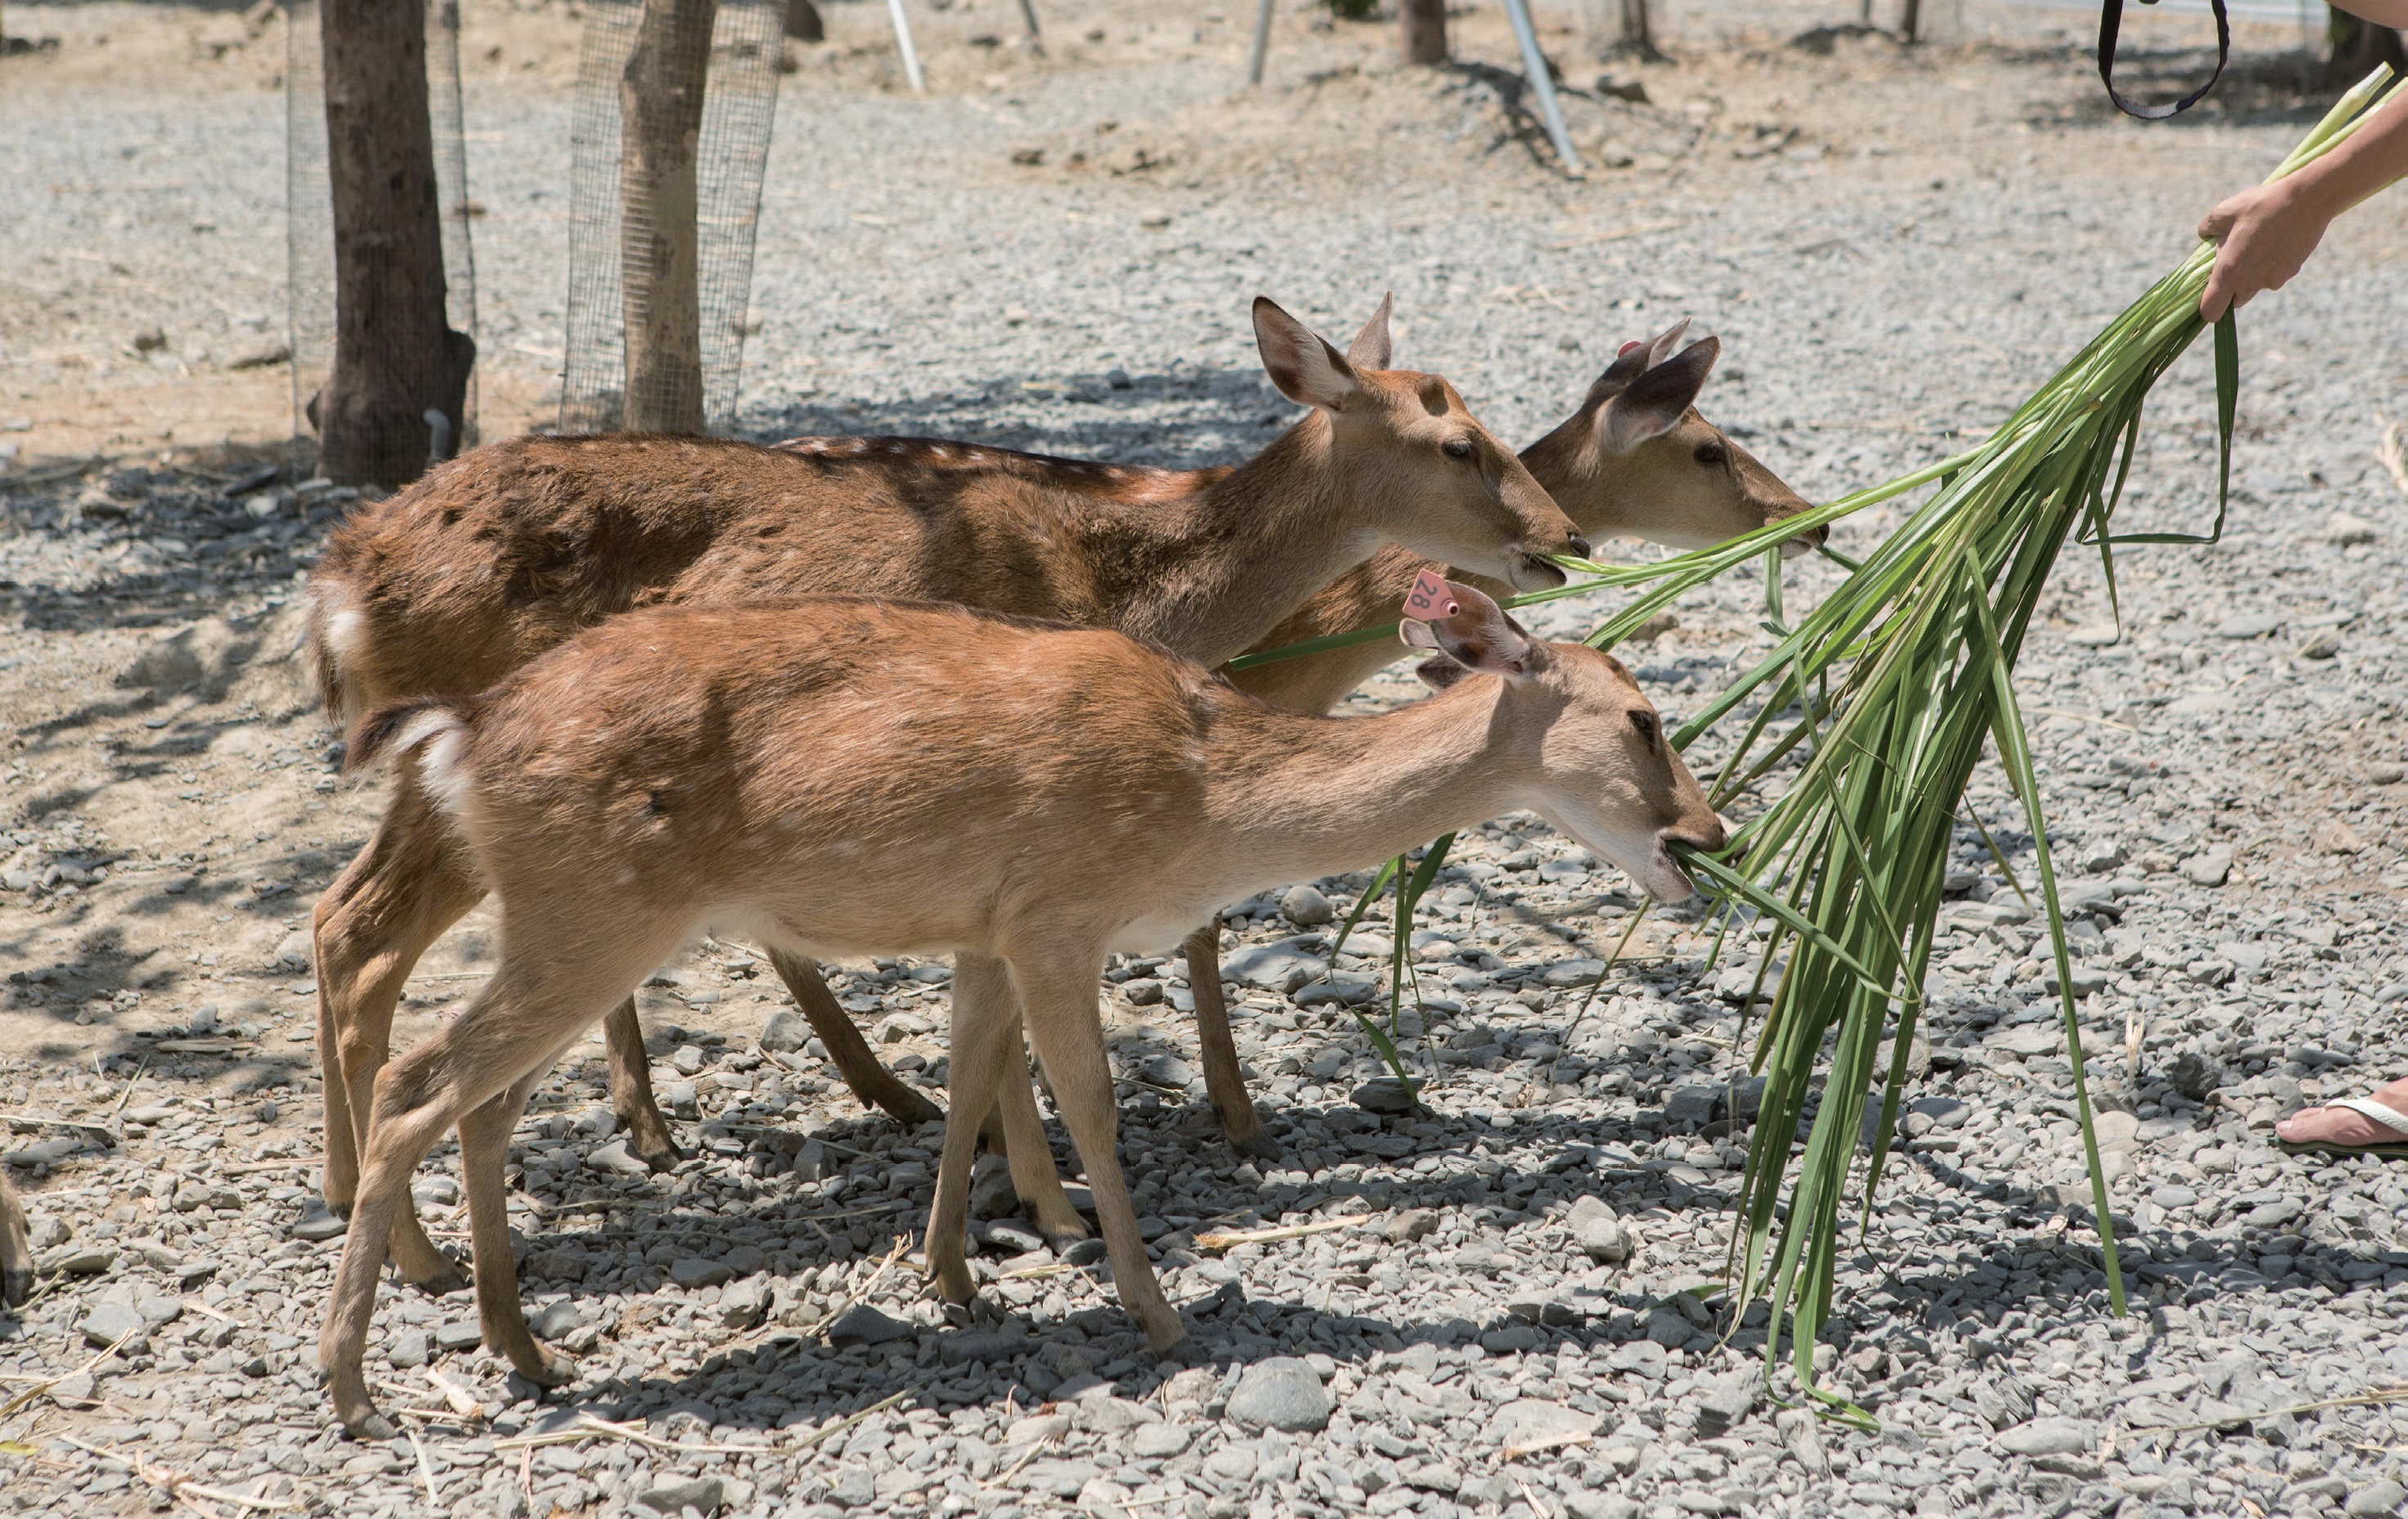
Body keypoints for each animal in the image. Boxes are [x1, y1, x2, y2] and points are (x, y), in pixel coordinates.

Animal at [304, 294, 1586, 1293]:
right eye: (1458, 440)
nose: (1563, 537)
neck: (1125, 589)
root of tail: (340, 585)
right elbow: (1019, 1029)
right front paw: (1052, 1208)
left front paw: (1018, 1200)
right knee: (365, 943)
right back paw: (416, 1250)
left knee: (337, 921)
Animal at [320, 575, 1725, 1439]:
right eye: (1646, 718)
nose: (1708, 838)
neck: (1209, 804)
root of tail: (459, 734)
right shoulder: (1059, 911)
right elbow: (1087, 1105)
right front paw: (1158, 1312)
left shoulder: (987, 927)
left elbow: (966, 1084)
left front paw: (952, 1276)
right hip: (593, 914)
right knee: (422, 1078)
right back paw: (355, 1388)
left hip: (569, 924)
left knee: (484, 1098)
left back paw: (524, 1346)